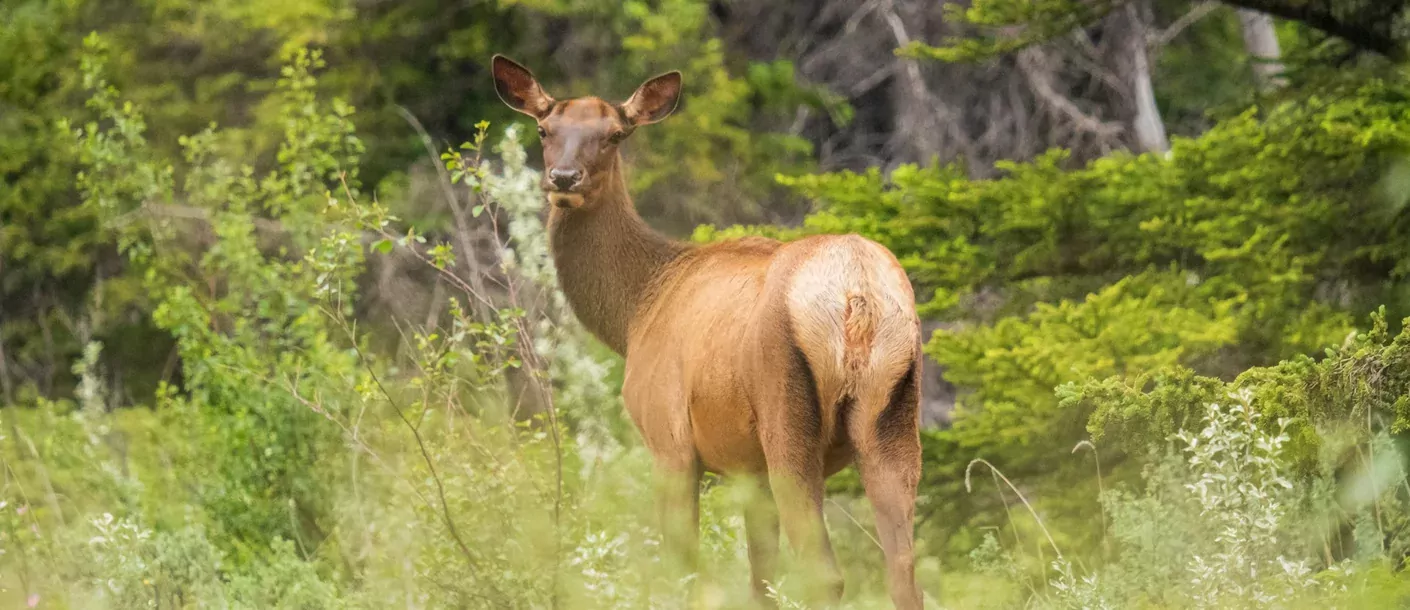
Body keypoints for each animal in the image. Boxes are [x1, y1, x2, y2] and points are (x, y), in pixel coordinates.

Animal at [493, 54, 924, 605]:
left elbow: (683, 568)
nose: (564, 177)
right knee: (903, 570)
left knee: (824, 571)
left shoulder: (668, 439)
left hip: (786, 416)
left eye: (614, 135)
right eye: (545, 129)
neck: (635, 310)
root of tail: (857, 295)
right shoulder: (749, 472)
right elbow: (760, 578)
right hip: (894, 416)